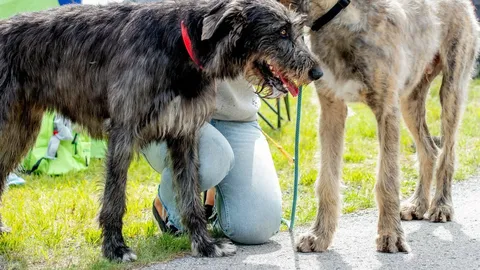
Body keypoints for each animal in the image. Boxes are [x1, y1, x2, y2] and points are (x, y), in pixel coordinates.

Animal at [0, 0, 322, 262]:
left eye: (296, 31)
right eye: (281, 32)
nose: (317, 73)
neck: (183, 45)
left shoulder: (184, 133)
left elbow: (190, 195)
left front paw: (204, 244)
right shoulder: (123, 132)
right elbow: (115, 197)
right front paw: (115, 249)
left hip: (19, 131)